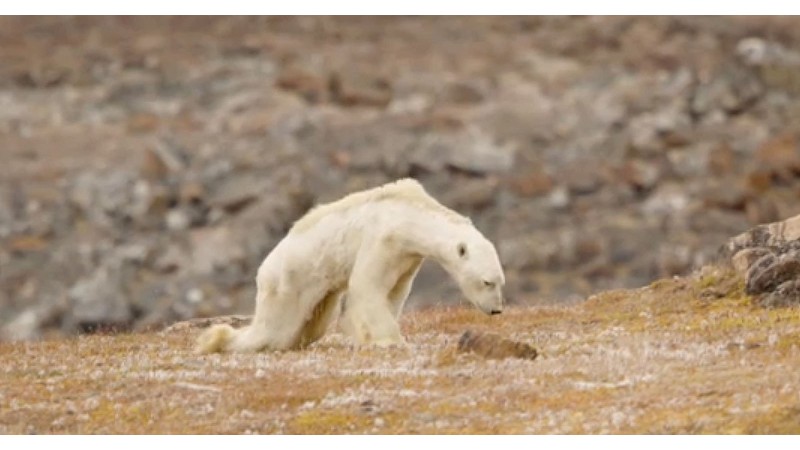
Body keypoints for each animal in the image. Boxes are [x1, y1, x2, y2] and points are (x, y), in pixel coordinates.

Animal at [196, 178, 504, 354]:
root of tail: (263, 270)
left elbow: (394, 292)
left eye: (501, 282)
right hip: (289, 282)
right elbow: (368, 286)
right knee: (274, 329)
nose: (496, 310)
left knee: (312, 324)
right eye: (487, 282)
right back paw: (218, 340)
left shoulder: (407, 257)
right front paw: (389, 340)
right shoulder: (383, 239)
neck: (409, 215)